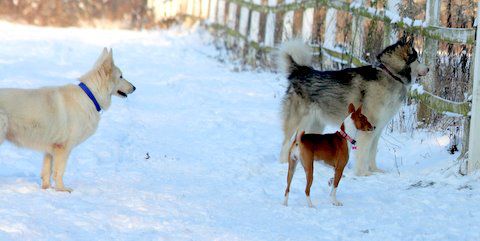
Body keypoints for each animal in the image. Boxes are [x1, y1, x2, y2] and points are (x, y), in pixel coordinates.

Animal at [0, 48, 135, 192]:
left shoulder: (50, 148)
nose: (134, 88)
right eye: (121, 76)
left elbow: (47, 171)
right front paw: (62, 189)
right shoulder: (64, 147)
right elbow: (59, 171)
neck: (90, 96)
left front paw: (46, 188)